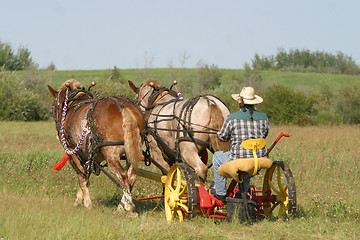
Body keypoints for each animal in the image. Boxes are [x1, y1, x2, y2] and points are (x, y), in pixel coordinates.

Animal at [47, 79, 145, 217]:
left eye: (54, 106)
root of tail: (123, 107)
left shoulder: (72, 152)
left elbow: (81, 177)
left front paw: (86, 203)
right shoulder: (90, 155)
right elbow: (86, 175)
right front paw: (79, 199)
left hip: (111, 155)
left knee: (123, 177)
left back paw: (129, 208)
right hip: (131, 154)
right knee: (131, 177)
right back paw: (122, 205)